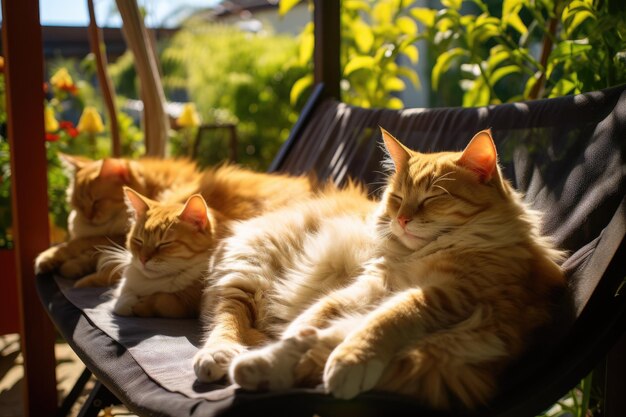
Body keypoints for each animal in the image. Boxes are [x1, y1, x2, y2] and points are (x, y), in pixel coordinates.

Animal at [193, 129, 564, 410]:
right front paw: (291, 344)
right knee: (230, 318)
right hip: (248, 274)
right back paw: (230, 359)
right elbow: (315, 318)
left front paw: (349, 361)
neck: (418, 255)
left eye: (432, 199)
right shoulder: (373, 284)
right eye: (397, 198)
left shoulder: (446, 296)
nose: (401, 219)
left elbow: (381, 322)